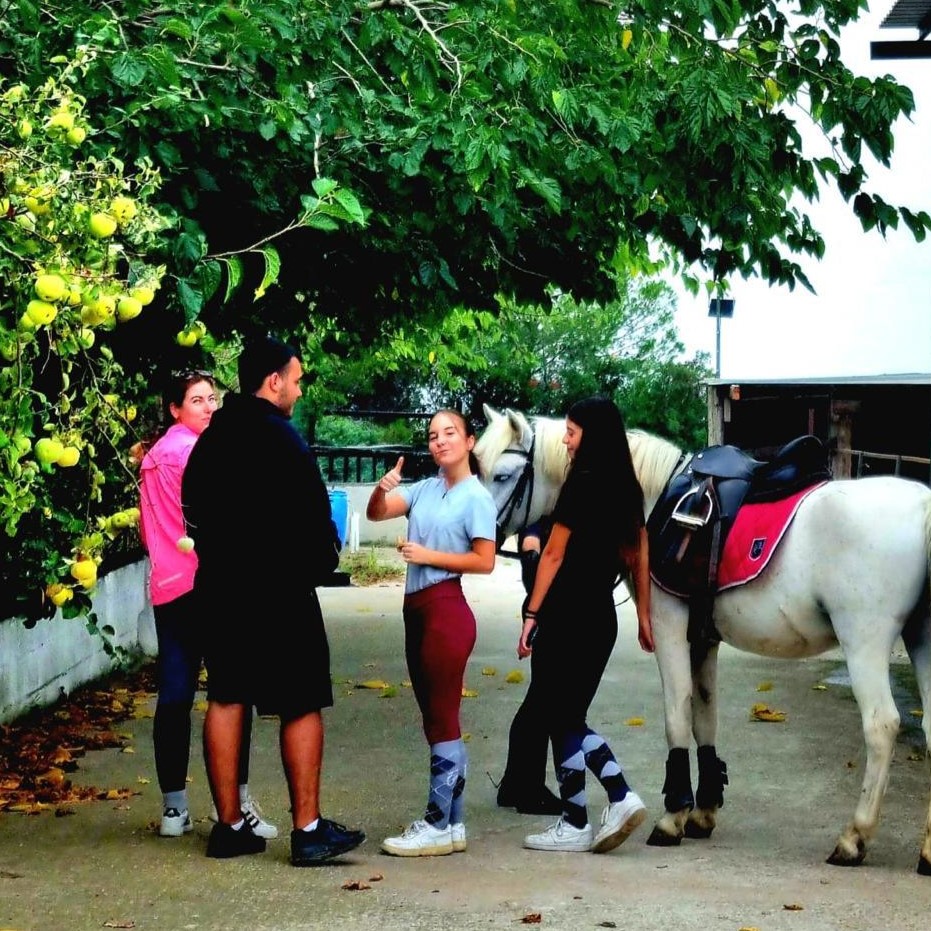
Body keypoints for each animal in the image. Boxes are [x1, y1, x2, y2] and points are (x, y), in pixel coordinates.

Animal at [476, 402, 931, 872]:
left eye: (503, 475)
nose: (482, 539)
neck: (651, 501)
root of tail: (922, 505)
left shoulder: (669, 627)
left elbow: (677, 714)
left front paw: (672, 818)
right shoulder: (703, 639)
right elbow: (704, 717)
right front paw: (703, 811)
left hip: (864, 642)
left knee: (881, 725)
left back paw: (853, 839)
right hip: (921, 638)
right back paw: (927, 851)